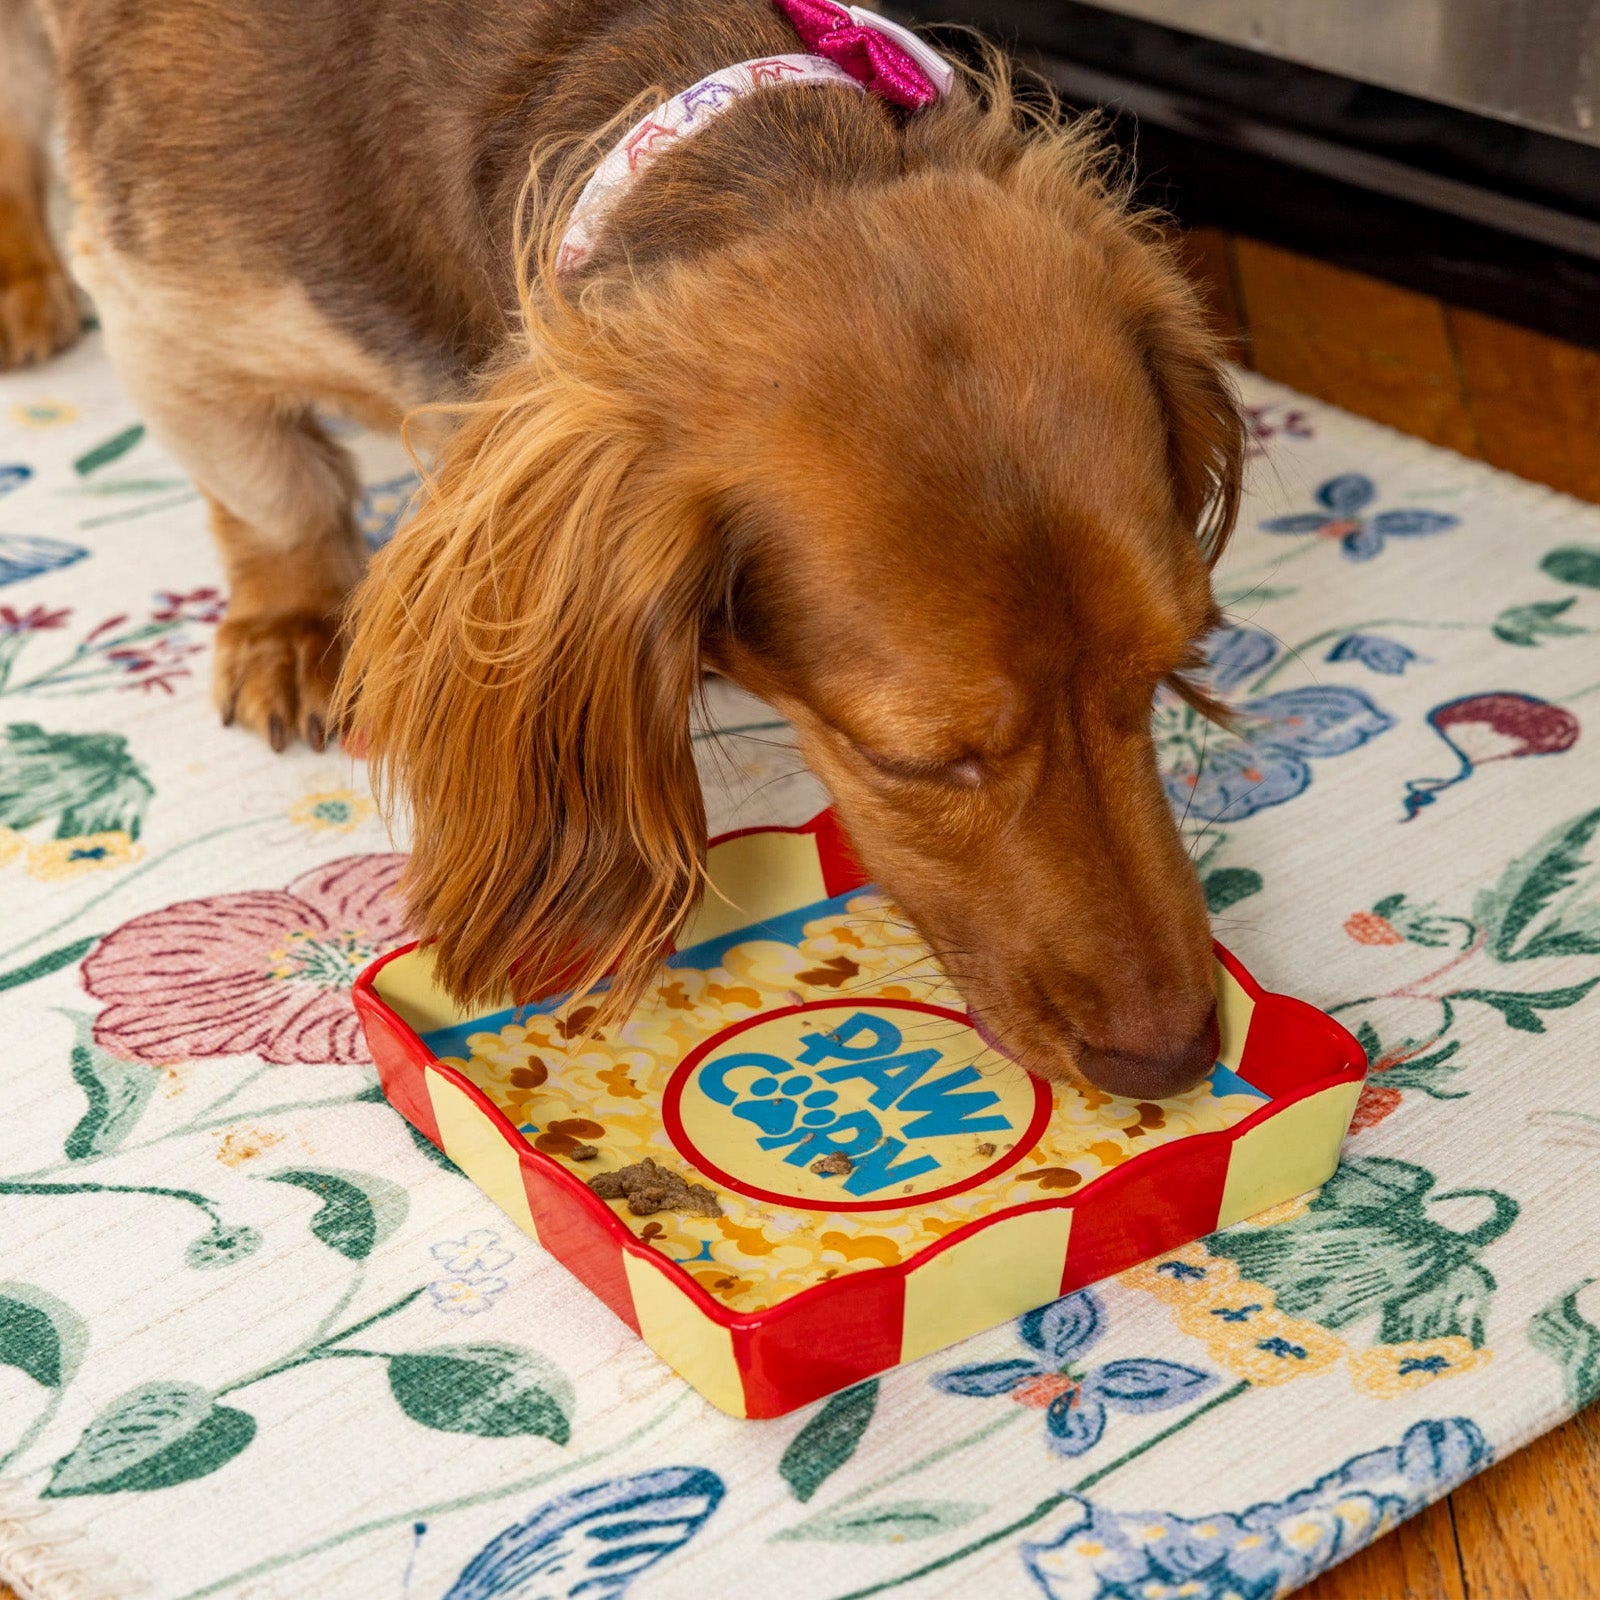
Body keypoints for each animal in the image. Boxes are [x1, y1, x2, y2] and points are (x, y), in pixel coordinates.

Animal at [0, 0, 1241, 1100]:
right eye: (912, 762)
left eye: (1164, 671)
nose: (1174, 1062)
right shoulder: (170, 309)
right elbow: (275, 498)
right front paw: (291, 624)